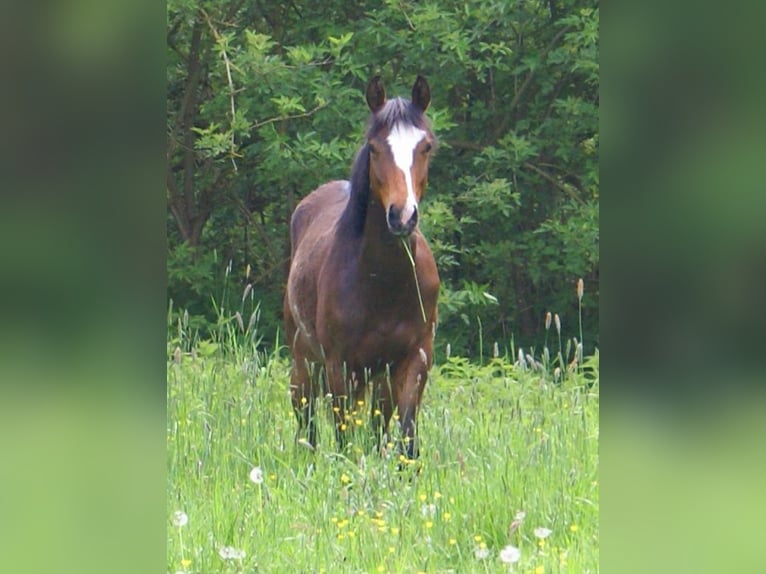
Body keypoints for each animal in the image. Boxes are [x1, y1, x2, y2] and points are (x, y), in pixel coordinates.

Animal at [283, 76, 440, 460]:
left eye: (426, 146)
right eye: (374, 147)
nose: (402, 216)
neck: (383, 282)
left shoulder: (415, 359)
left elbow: (406, 437)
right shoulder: (340, 364)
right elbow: (344, 438)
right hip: (305, 359)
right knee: (306, 418)